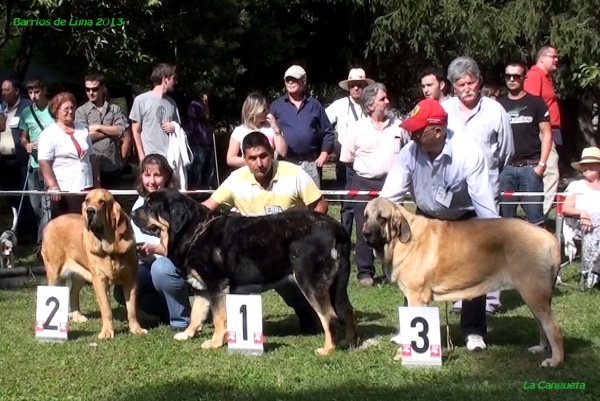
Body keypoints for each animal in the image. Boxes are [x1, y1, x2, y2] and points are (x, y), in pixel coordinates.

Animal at [41, 189, 148, 340]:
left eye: (102, 202)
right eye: (87, 200)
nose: (90, 211)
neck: (111, 249)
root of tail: (49, 224)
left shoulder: (131, 280)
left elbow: (131, 308)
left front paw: (136, 329)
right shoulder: (100, 280)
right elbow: (106, 309)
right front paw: (107, 332)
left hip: (80, 275)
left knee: (73, 293)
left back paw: (78, 316)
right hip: (54, 274)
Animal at [364, 195, 564, 368]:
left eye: (382, 218)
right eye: (366, 216)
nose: (365, 233)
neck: (400, 240)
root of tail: (548, 236)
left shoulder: (416, 297)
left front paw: (403, 354)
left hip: (533, 292)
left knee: (553, 327)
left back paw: (555, 360)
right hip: (534, 295)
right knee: (541, 324)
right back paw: (540, 348)